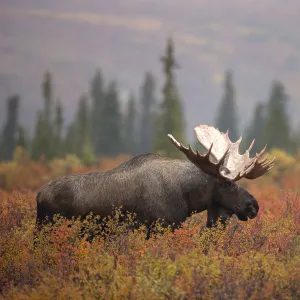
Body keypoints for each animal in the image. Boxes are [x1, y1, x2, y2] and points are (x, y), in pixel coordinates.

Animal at [35, 124, 274, 237]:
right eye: (227, 183)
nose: (253, 205)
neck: (188, 197)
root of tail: (38, 196)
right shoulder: (161, 226)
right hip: (48, 226)